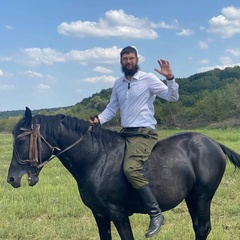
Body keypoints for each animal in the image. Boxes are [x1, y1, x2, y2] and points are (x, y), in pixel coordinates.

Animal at [7, 107, 240, 240]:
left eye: (20, 141)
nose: (11, 179)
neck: (97, 160)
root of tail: (214, 144)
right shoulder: (100, 215)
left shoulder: (118, 214)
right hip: (192, 198)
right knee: (199, 228)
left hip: (202, 197)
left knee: (202, 229)